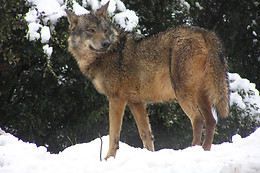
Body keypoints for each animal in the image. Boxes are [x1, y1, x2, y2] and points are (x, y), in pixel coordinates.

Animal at [65, 2, 230, 160]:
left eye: (105, 30)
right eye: (91, 30)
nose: (106, 43)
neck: (104, 56)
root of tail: (204, 32)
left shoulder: (116, 100)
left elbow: (114, 135)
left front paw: (108, 158)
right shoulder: (136, 102)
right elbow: (146, 134)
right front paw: (149, 154)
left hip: (182, 94)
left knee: (198, 120)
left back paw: (192, 151)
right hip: (200, 95)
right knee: (211, 121)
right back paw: (204, 151)